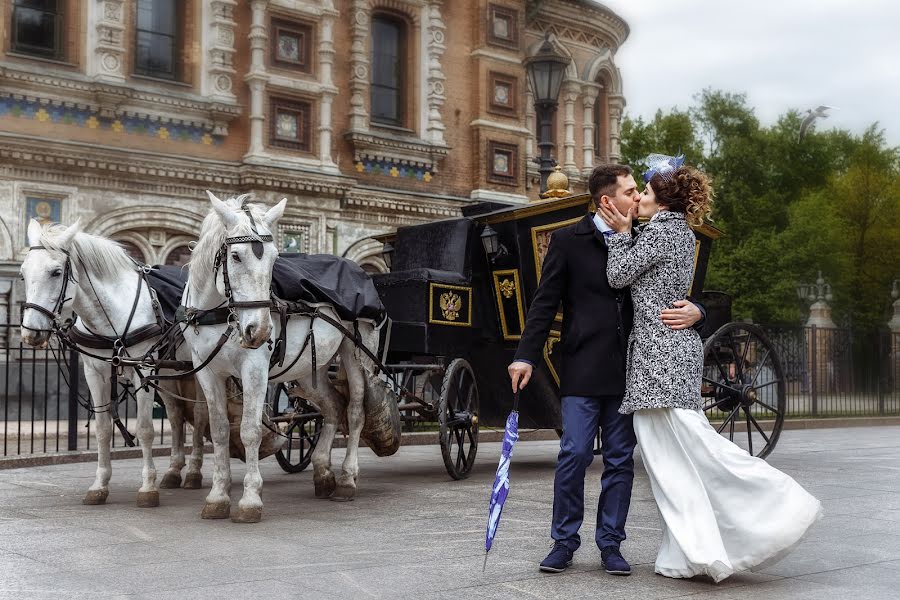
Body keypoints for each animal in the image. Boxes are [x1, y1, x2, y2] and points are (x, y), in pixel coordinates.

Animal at [21, 218, 207, 504]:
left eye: (55, 272)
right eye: (22, 273)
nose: (31, 332)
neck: (112, 313)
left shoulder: (143, 370)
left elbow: (145, 429)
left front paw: (148, 487)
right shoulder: (95, 373)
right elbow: (102, 429)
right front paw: (100, 485)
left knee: (198, 414)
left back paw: (194, 472)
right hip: (169, 372)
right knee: (176, 415)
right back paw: (174, 470)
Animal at [185, 195, 376, 524]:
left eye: (275, 259)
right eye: (235, 256)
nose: (260, 330)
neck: (217, 312)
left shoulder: (254, 369)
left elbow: (249, 431)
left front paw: (250, 499)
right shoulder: (207, 373)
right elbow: (219, 430)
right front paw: (218, 496)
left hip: (353, 350)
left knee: (354, 411)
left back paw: (347, 478)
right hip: (309, 369)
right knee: (333, 406)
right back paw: (323, 472)